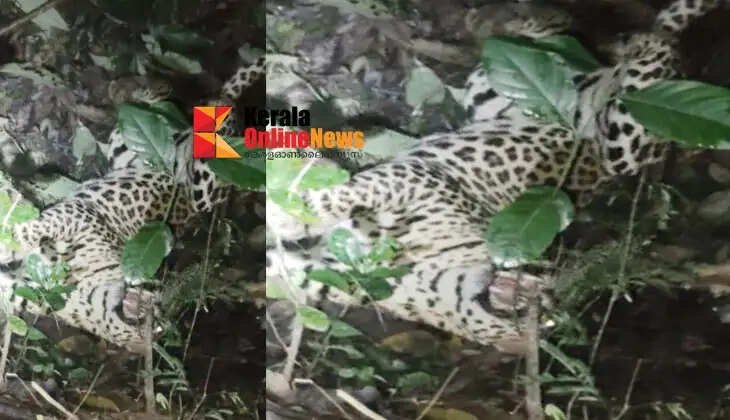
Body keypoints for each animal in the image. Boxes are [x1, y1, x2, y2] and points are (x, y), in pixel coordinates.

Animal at [0, 56, 265, 353]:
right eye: (158, 308)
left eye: (158, 327)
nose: (155, 314)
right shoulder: (83, 216)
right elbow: (44, 224)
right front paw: (16, 233)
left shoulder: (36, 291)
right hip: (199, 174)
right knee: (182, 111)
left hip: (128, 150)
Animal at [266, 0, 721, 352]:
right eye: (547, 314)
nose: (541, 315)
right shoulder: (421, 178)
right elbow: (356, 190)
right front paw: (291, 213)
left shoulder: (357, 271)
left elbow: (302, 272)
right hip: (622, 131)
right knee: (639, 51)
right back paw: (623, 40)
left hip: (494, 94)